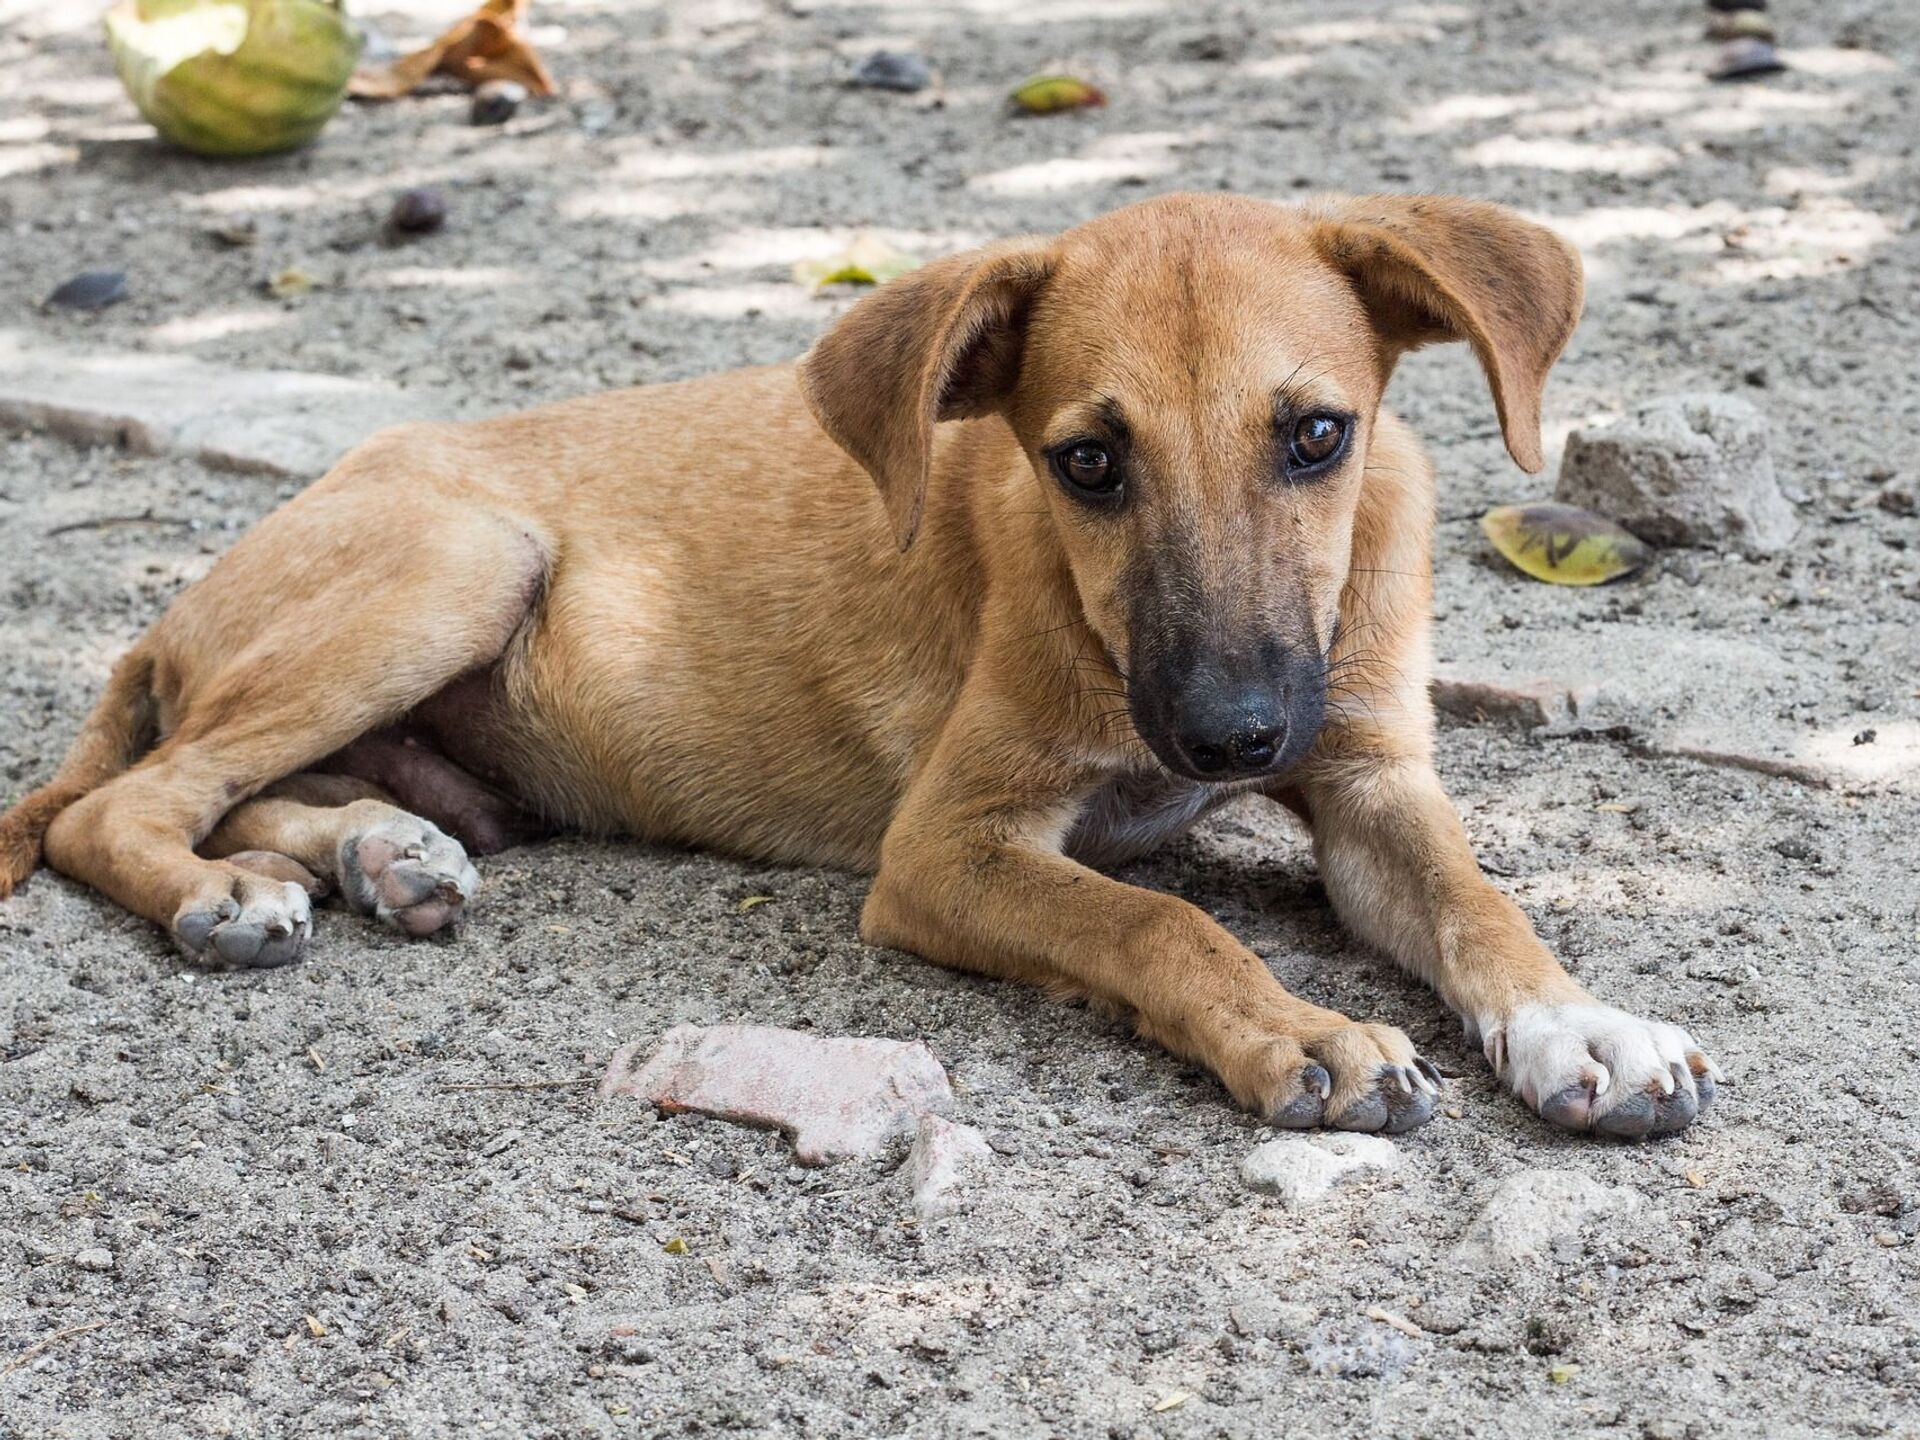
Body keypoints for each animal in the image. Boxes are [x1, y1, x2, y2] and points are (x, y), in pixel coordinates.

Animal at [0, 192, 1728, 1136]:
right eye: (1087, 463)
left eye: (1317, 435)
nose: (1231, 736)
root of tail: (179, 603)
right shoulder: (947, 851)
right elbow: (1157, 919)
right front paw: (1297, 1032)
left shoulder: (1370, 778)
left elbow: (1481, 905)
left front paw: (1583, 1024)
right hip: (459, 563)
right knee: (122, 807)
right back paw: (232, 898)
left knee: (256, 790)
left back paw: (381, 850)